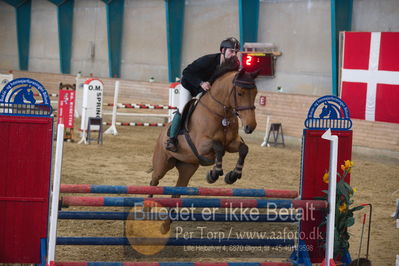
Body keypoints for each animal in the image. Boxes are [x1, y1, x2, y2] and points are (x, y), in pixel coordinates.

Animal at [149, 68, 260, 233]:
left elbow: (243, 149)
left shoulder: (232, 143)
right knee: (154, 182)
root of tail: (162, 133)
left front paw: (232, 175)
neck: (221, 114)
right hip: (162, 164)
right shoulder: (201, 145)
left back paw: (165, 225)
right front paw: (213, 174)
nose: (250, 126)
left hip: (187, 168)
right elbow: (218, 148)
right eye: (240, 93)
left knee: (177, 193)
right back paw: (145, 211)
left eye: (256, 93)